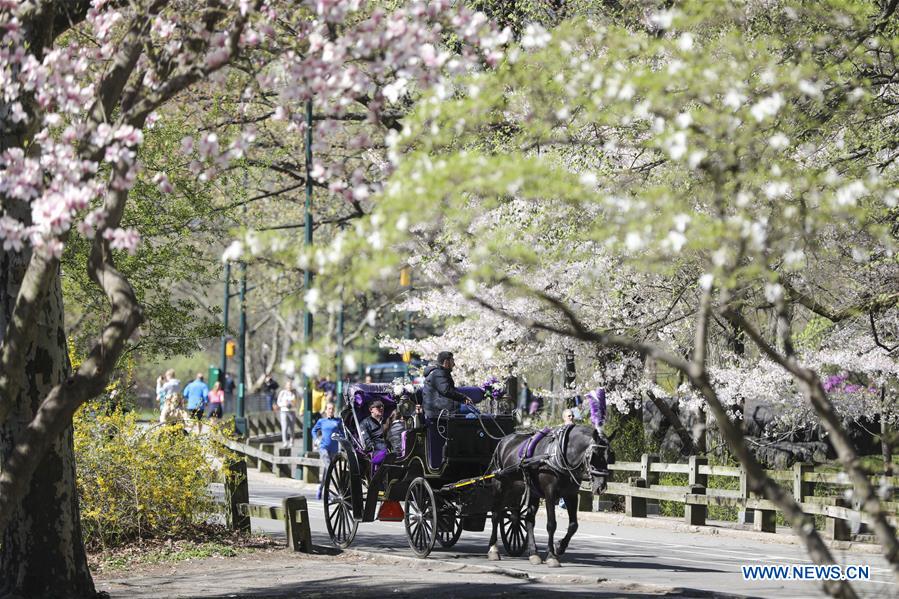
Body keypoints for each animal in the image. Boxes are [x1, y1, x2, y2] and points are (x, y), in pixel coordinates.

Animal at [486, 424, 612, 568]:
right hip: (500, 486)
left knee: (528, 520)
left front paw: (560, 547)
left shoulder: (571, 495)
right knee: (496, 515)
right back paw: (493, 549)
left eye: (609, 455)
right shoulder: (550, 495)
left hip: (530, 492)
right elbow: (551, 524)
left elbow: (573, 525)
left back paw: (534, 553)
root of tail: (503, 441)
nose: (601, 487)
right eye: (594, 455)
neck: (560, 454)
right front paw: (551, 555)